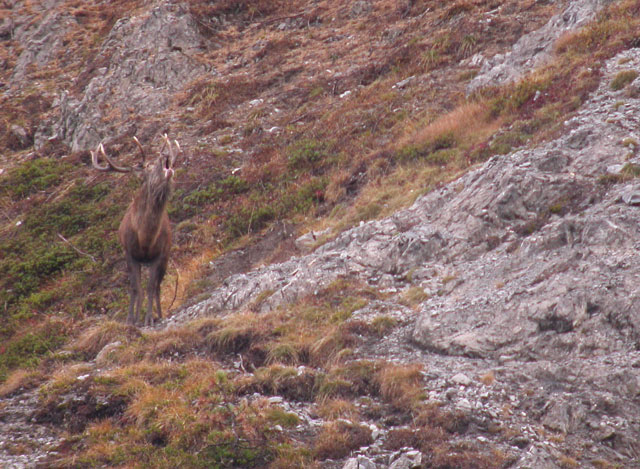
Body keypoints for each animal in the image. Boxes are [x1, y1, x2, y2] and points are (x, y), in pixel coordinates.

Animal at [90, 134, 181, 326]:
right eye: (150, 168)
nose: (165, 155)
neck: (145, 238)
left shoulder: (158, 255)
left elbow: (150, 286)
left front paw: (148, 318)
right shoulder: (130, 253)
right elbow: (135, 288)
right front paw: (132, 319)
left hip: (166, 256)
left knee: (158, 287)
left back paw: (159, 314)